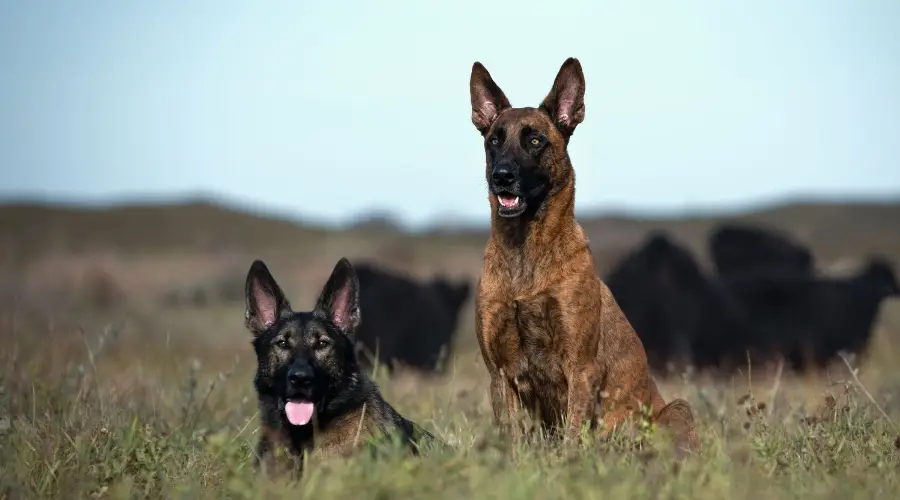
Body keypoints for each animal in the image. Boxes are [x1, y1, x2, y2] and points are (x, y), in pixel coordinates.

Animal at [472, 57, 704, 458]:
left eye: (535, 140)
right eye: (494, 141)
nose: (502, 176)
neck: (525, 255)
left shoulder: (580, 367)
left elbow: (573, 435)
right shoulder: (499, 373)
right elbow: (512, 436)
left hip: (677, 409)